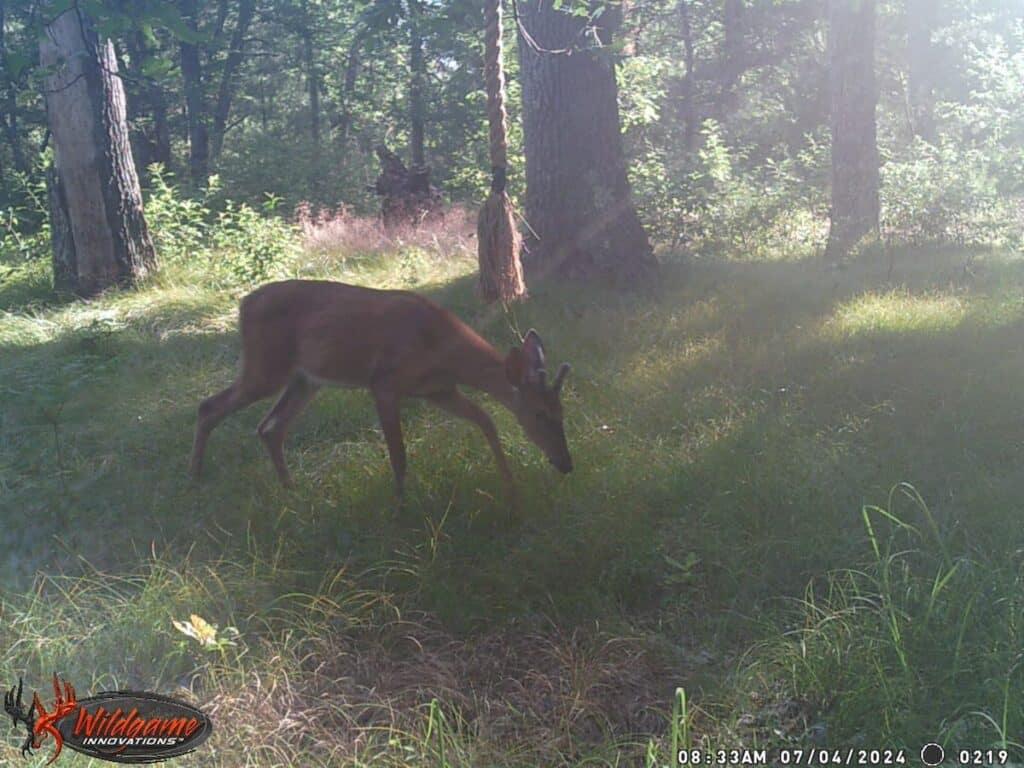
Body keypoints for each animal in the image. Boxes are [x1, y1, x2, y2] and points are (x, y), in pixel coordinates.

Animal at [190, 282, 577, 499]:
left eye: (562, 414)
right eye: (540, 414)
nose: (566, 464)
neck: (441, 348)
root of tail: (243, 305)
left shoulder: (438, 390)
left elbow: (486, 420)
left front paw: (510, 487)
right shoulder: (385, 383)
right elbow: (399, 456)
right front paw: (401, 509)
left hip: (306, 380)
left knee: (270, 427)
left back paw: (292, 491)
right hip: (266, 366)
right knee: (208, 406)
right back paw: (196, 477)